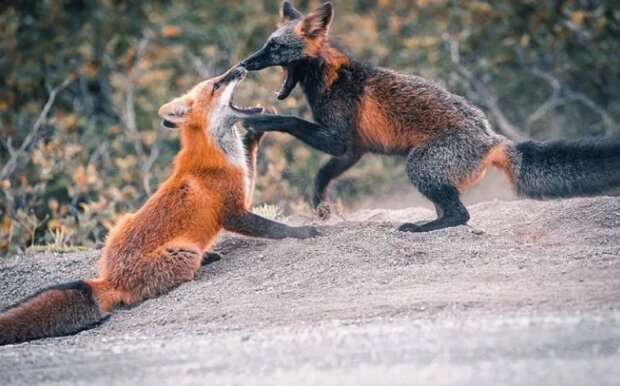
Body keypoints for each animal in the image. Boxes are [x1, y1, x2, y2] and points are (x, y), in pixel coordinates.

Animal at [0, 65, 318, 346]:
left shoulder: (242, 186)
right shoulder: (233, 212)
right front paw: (305, 233)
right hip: (184, 254)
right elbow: (275, 228)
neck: (217, 155)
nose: (241, 68)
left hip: (122, 221)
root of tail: (109, 279)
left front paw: (255, 134)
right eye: (217, 84)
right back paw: (205, 260)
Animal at [241, 0, 620, 232]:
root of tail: (493, 138)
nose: (245, 63)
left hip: (419, 166)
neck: (333, 78)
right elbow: (322, 176)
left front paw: (258, 119)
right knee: (454, 211)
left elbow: (291, 122)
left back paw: (421, 228)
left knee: (460, 214)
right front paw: (321, 208)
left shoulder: (337, 139)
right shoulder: (353, 149)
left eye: (274, 47)